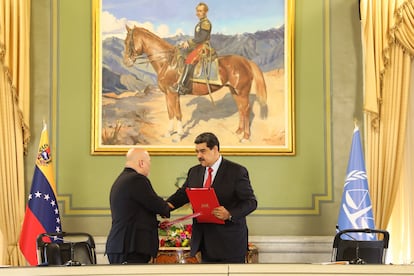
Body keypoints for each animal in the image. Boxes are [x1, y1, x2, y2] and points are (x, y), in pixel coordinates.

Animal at [122, 25, 268, 142]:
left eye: (128, 42)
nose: (126, 62)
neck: (167, 62)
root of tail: (246, 61)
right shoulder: (169, 94)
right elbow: (171, 113)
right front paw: (169, 132)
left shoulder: (173, 93)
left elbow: (177, 114)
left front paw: (178, 135)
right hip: (234, 91)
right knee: (241, 109)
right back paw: (239, 131)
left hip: (242, 92)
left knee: (246, 109)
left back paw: (246, 137)